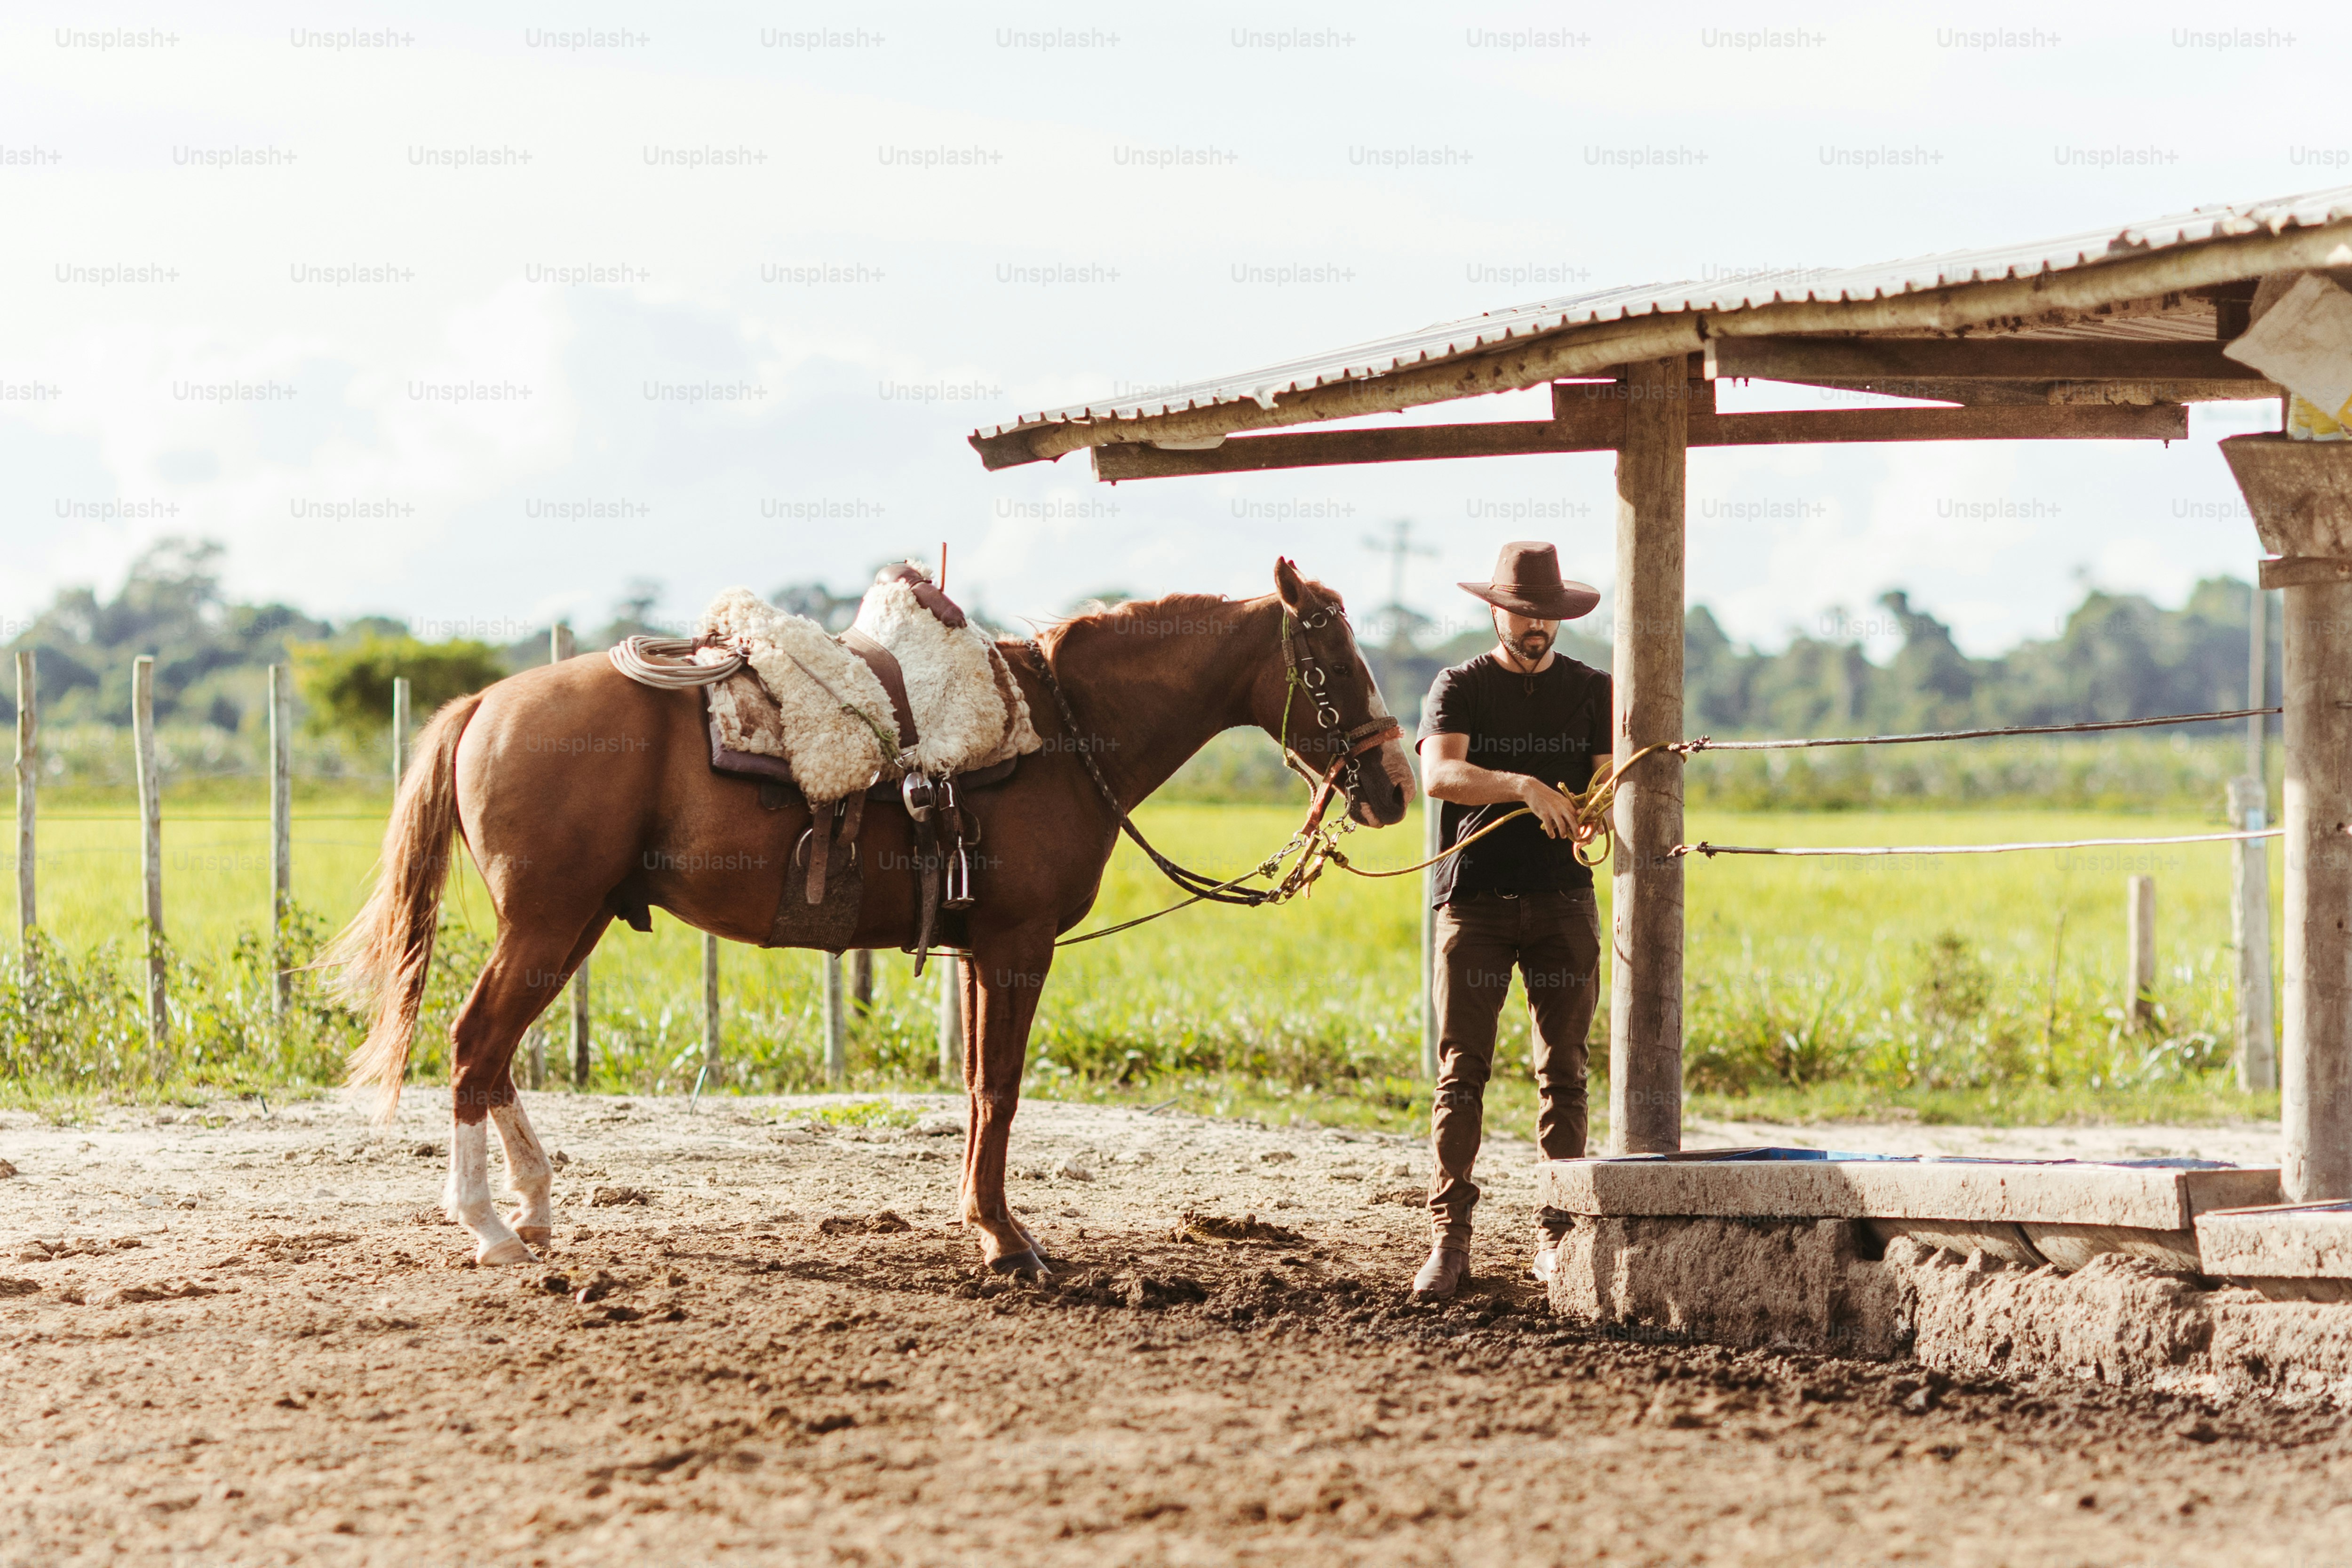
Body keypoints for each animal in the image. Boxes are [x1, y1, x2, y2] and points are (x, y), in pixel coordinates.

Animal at [322, 557, 1412, 1276]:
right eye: (1331, 658)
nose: (1395, 785)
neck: (1063, 726)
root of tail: (484, 703)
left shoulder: (981, 951)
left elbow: (977, 1091)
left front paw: (983, 1224)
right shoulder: (1017, 946)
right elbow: (1001, 1091)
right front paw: (1006, 1241)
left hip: (574, 921)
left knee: (496, 1053)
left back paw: (536, 1207)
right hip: (547, 924)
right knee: (473, 1044)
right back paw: (491, 1225)